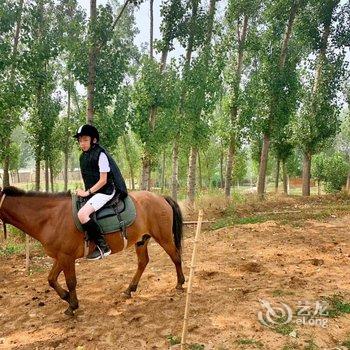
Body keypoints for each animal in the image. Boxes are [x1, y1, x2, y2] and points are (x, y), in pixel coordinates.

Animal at [0, 187, 186, 316]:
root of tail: (161, 197)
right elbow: (51, 279)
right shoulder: (60, 257)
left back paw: (180, 283)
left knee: (176, 257)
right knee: (143, 262)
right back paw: (129, 289)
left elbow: (71, 282)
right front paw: (66, 297)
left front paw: (72, 306)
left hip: (164, 238)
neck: (50, 217)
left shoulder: (66, 257)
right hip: (141, 240)